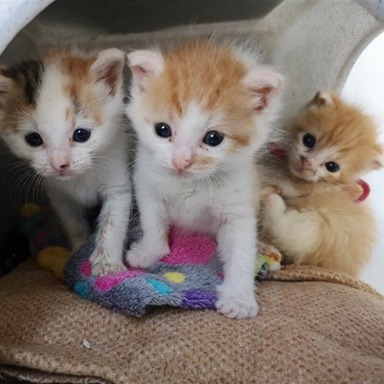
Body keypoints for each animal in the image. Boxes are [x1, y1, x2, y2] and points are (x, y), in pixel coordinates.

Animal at [0, 48, 132, 276]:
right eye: (33, 139)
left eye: (81, 134)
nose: (59, 164)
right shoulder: (58, 194)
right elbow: (74, 224)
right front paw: (78, 251)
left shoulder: (118, 181)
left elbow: (112, 223)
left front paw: (106, 264)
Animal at [125, 40, 282, 320]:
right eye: (162, 130)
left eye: (213, 138)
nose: (181, 162)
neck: (191, 182)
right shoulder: (147, 185)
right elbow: (153, 222)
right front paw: (149, 252)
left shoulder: (238, 208)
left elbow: (242, 251)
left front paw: (239, 298)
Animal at [260, 92, 382, 280]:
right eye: (308, 140)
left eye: (332, 166)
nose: (308, 163)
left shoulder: (309, 189)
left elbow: (280, 181)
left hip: (324, 231)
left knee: (287, 233)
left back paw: (272, 200)